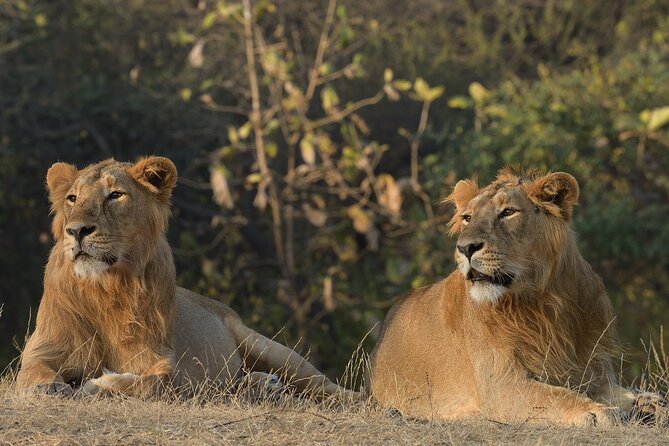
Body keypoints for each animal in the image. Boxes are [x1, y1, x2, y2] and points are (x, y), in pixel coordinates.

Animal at [16, 156, 357, 400]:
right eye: (72, 198)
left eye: (115, 195)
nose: (76, 231)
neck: (106, 288)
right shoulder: (44, 347)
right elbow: (33, 371)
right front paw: (49, 387)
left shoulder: (168, 362)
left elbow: (155, 383)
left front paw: (97, 384)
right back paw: (262, 386)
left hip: (268, 347)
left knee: (329, 389)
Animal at [369, 169, 645, 426]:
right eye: (467, 218)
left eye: (508, 212)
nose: (465, 248)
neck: (543, 300)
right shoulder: (500, 385)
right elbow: (556, 396)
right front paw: (597, 411)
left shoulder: (593, 371)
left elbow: (627, 393)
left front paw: (646, 403)